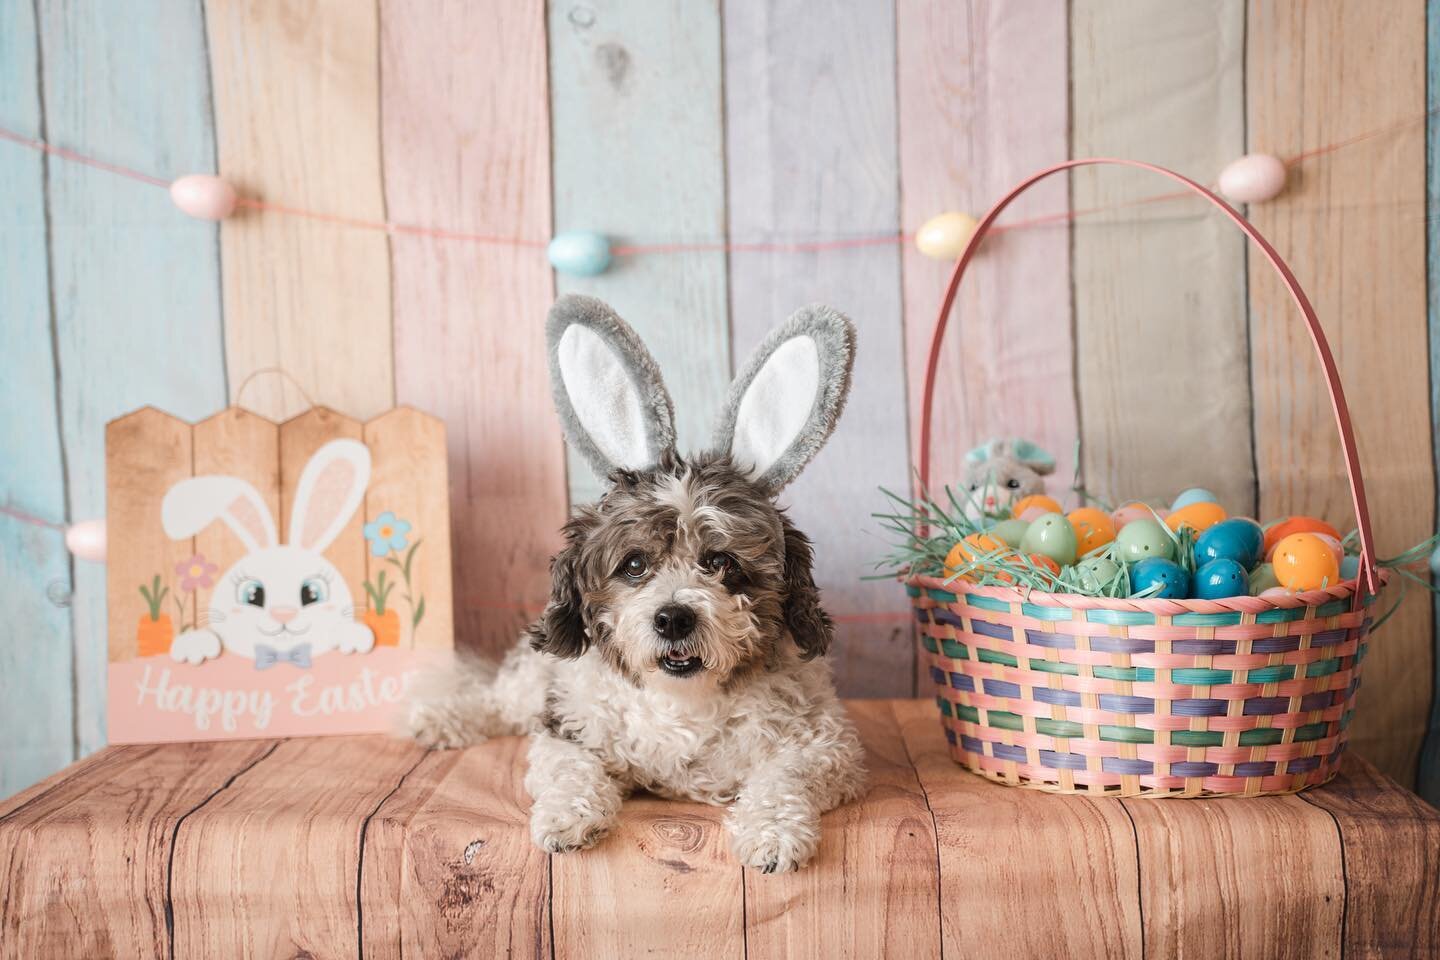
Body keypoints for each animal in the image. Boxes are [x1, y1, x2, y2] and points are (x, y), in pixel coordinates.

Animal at [411, 296, 869, 875]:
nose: (673, 617)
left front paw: (774, 834)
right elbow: (569, 770)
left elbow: (784, 777)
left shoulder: (825, 744)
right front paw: (567, 819)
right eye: (633, 565)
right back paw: (439, 717)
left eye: (720, 561)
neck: (683, 703)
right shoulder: (568, 728)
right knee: (495, 699)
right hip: (534, 679)